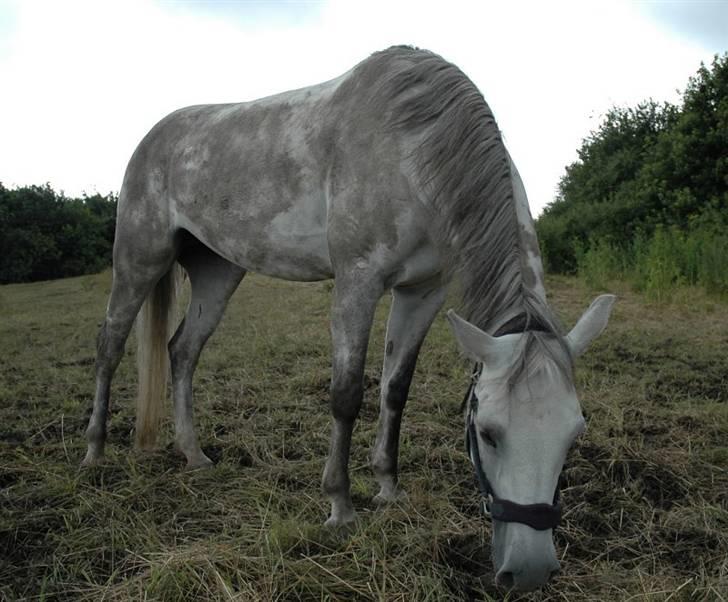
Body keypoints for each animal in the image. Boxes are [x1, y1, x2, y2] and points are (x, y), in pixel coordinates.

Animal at [81, 48, 616, 592]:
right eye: (487, 432)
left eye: (575, 433)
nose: (529, 571)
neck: (413, 151)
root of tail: (153, 139)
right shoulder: (357, 283)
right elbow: (347, 394)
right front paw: (341, 507)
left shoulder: (423, 292)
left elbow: (395, 390)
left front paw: (387, 488)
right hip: (139, 260)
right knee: (110, 346)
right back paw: (94, 453)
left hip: (218, 270)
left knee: (182, 351)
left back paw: (193, 455)